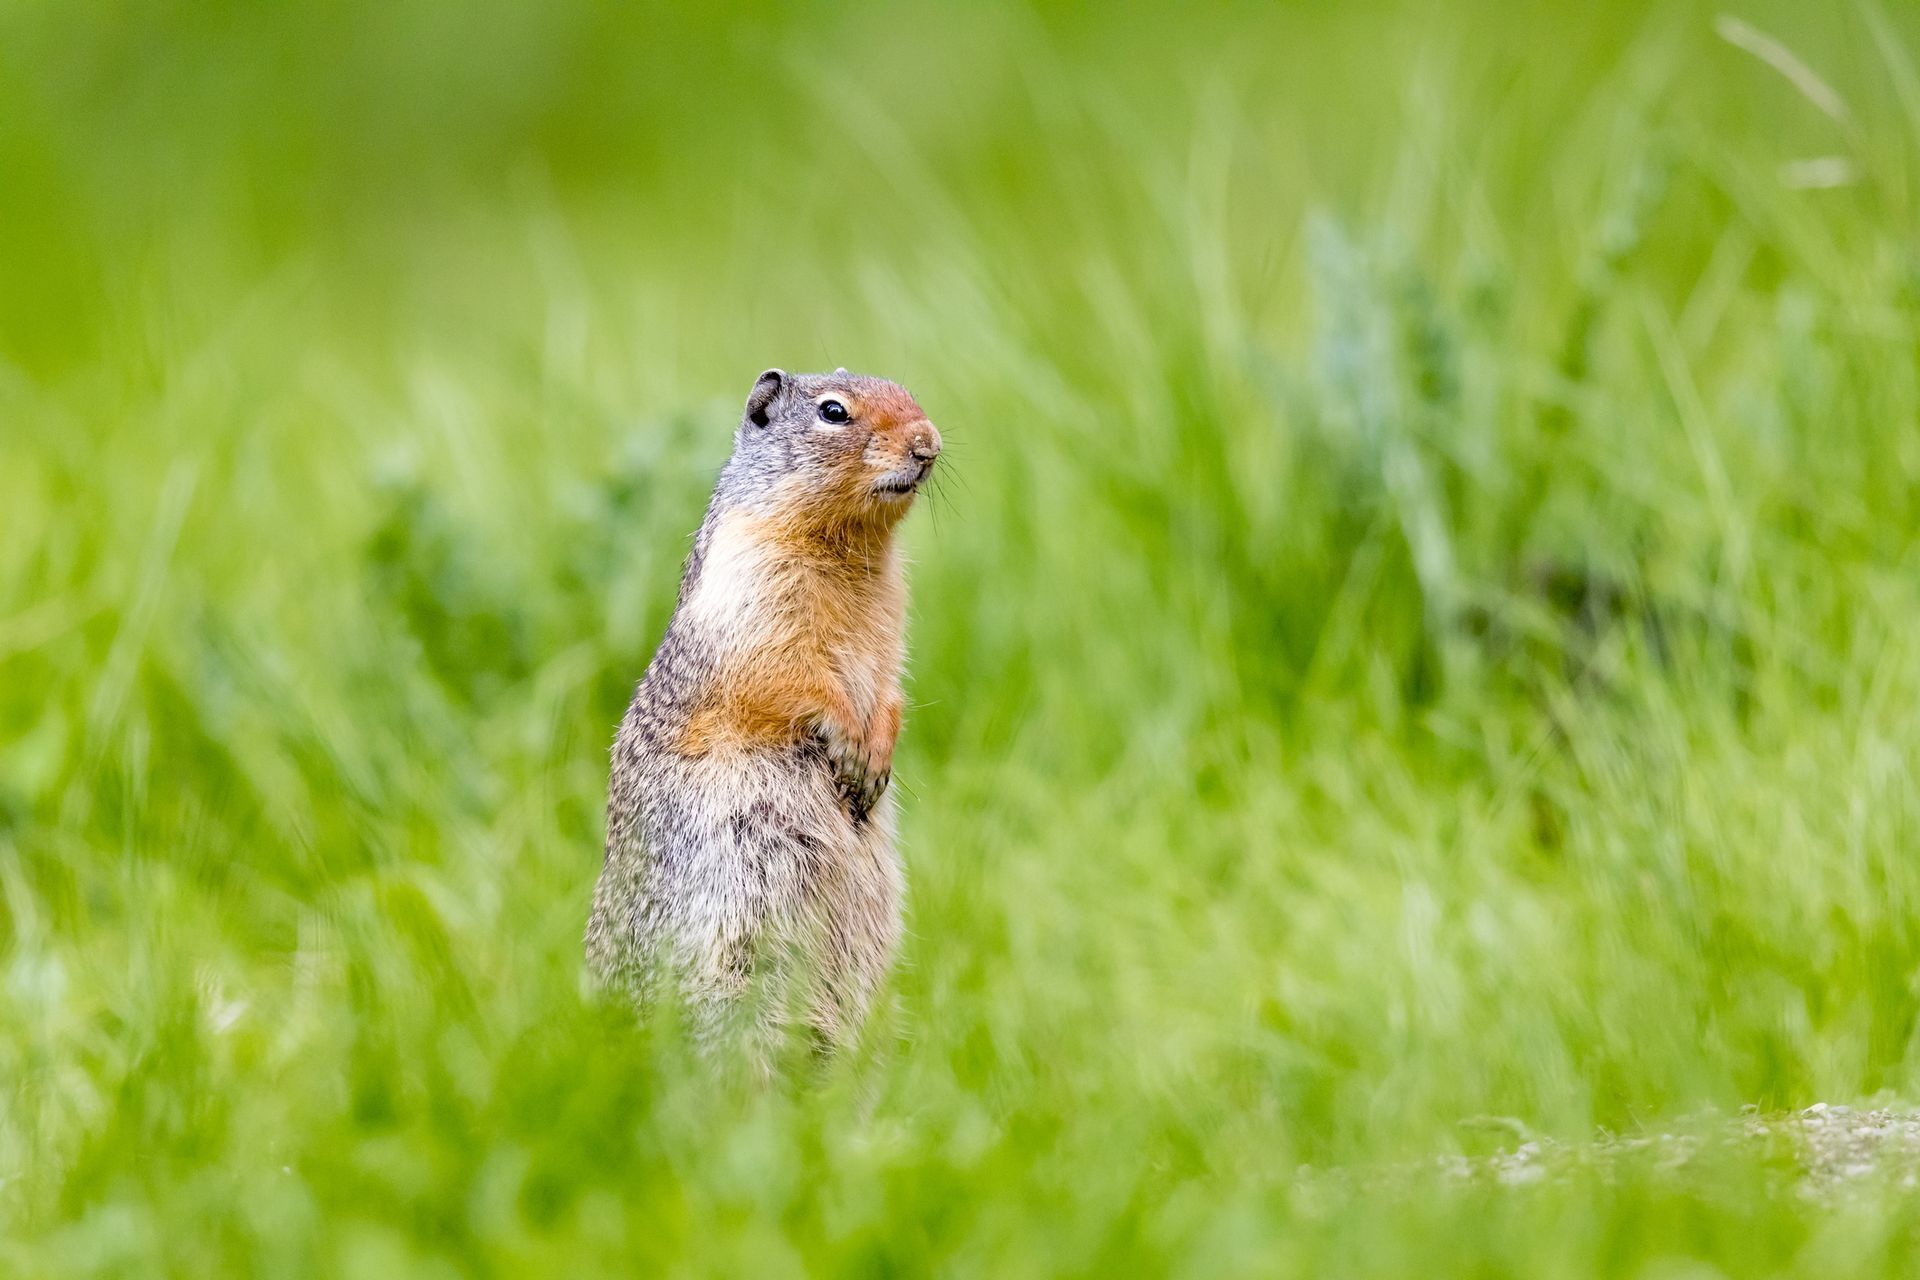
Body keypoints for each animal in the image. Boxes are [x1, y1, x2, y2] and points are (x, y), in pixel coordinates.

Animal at [585, 367, 941, 1065]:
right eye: (833, 412)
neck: (852, 548)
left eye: (905, 388)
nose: (928, 443)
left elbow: (891, 685)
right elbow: (788, 675)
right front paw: (851, 744)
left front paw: (878, 751)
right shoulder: (754, 589)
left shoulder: (892, 620)